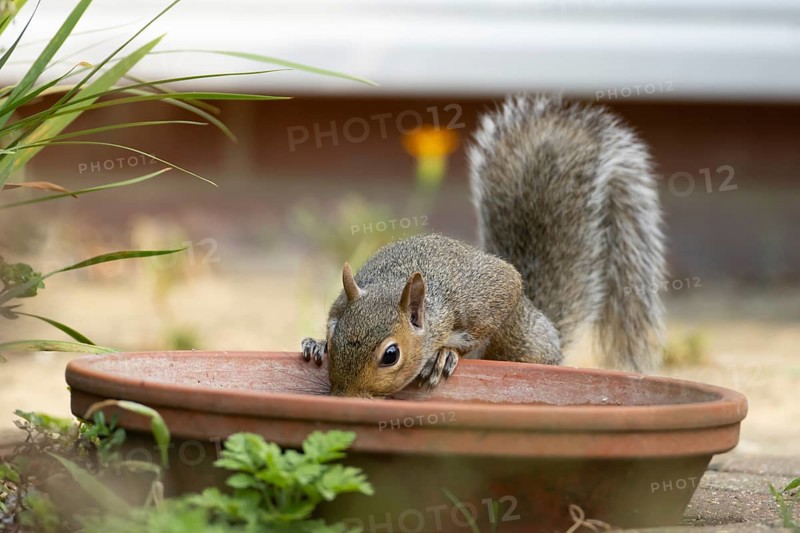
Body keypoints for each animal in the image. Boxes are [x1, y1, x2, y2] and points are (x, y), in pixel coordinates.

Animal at [301, 94, 665, 398]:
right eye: (335, 339)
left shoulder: (484, 296)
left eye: (391, 355)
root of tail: (544, 321)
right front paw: (315, 344)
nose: (344, 397)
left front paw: (445, 354)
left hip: (524, 341)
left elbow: (492, 307)